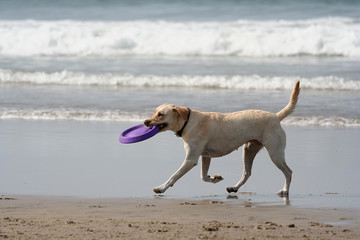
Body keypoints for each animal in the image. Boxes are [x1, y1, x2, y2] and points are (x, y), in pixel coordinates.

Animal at [145, 81, 300, 196]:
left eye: (160, 114)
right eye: (154, 112)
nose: (145, 122)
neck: (188, 122)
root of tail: (276, 116)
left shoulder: (191, 159)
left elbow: (174, 176)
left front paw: (161, 188)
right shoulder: (205, 156)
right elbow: (203, 176)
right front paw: (215, 178)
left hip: (275, 152)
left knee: (288, 172)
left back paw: (285, 190)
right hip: (249, 150)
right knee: (247, 172)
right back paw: (234, 188)